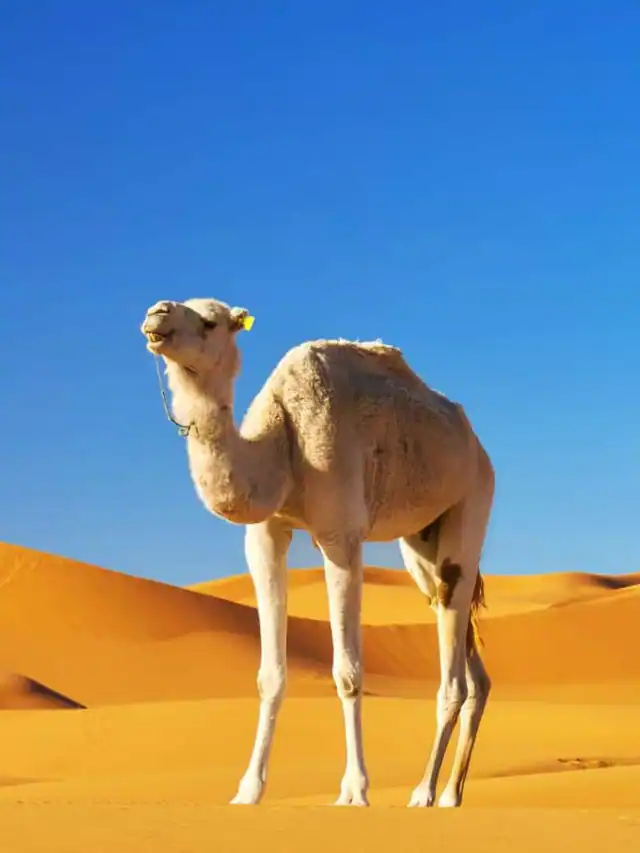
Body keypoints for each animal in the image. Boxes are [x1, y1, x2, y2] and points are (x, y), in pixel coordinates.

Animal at [140, 297, 495, 808]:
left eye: (209, 322)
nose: (157, 313)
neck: (280, 444)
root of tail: (477, 445)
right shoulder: (265, 535)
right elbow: (270, 674)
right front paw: (248, 791)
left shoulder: (340, 535)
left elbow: (347, 673)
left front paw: (355, 791)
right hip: (420, 544)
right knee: (463, 646)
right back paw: (450, 795)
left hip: (473, 499)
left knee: (453, 667)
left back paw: (424, 793)